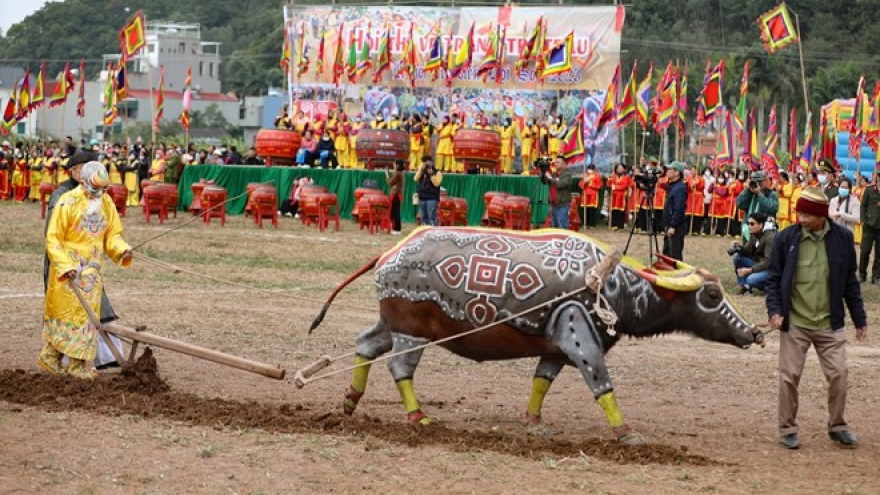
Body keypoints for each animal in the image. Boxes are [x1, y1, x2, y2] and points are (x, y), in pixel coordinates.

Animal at [312, 228, 764, 446]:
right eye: (710, 296)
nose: (755, 332)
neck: (608, 283)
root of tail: (389, 255)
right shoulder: (579, 334)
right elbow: (601, 383)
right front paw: (626, 433)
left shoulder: (556, 348)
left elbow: (541, 381)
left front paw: (533, 423)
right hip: (412, 332)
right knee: (399, 367)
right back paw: (418, 417)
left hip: (392, 323)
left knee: (365, 344)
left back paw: (350, 402)